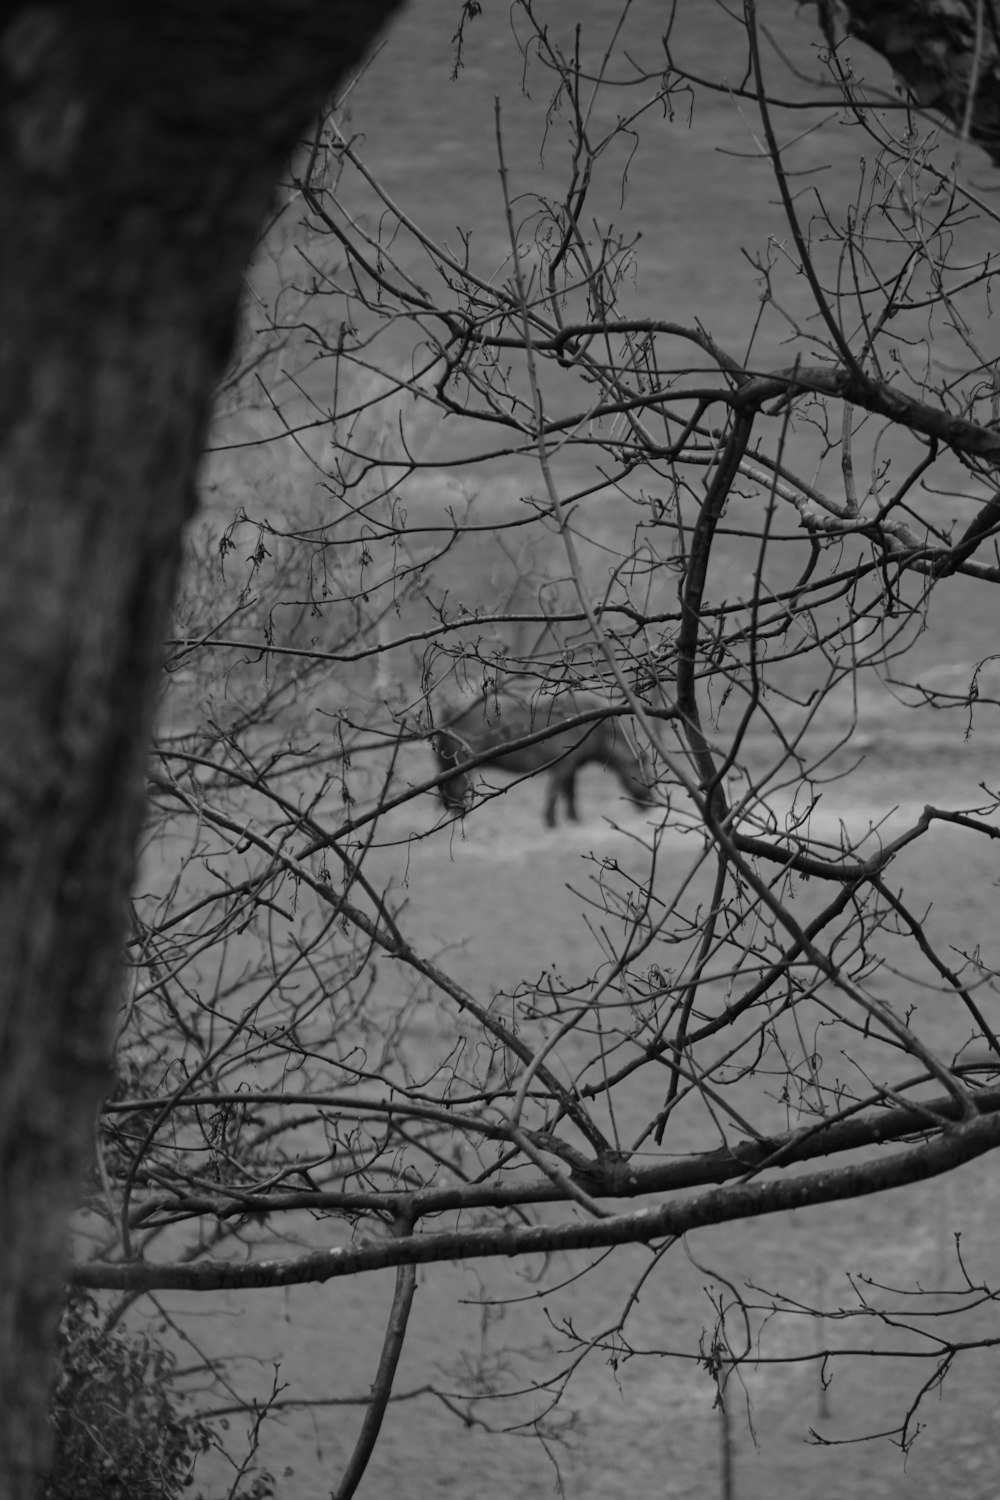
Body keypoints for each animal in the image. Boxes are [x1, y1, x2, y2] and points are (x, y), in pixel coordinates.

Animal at [431, 687, 656, 828]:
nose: (650, 803)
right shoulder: (563, 766)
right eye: (642, 773)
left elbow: (570, 793)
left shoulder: (571, 767)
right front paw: (551, 821)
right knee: (458, 789)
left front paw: (573, 818)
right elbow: (555, 793)